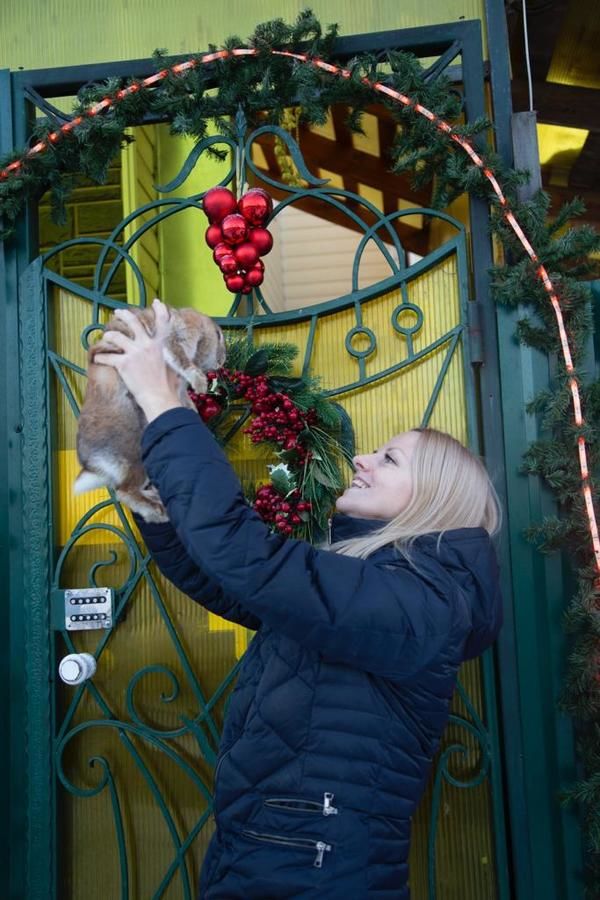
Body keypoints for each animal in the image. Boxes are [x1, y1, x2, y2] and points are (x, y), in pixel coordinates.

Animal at [74, 306, 225, 524]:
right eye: (219, 335)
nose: (222, 362)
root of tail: (91, 464)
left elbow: (183, 394)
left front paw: (192, 409)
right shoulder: (171, 338)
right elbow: (181, 360)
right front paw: (200, 383)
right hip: (134, 453)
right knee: (124, 492)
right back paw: (157, 512)